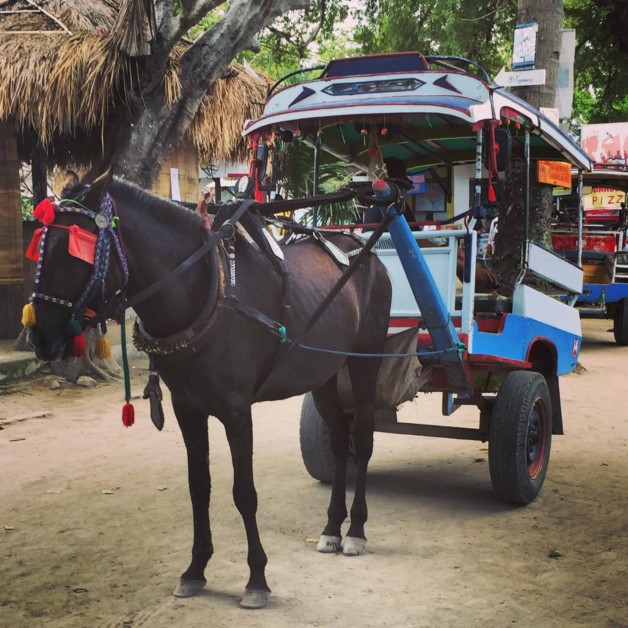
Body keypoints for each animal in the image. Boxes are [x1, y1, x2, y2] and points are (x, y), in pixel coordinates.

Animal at [27, 172, 390, 608]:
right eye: (39, 245)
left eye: (73, 251)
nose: (38, 336)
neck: (204, 291)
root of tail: (363, 251)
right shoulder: (187, 407)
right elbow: (199, 488)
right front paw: (195, 569)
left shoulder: (236, 411)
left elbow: (244, 492)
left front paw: (256, 579)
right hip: (323, 372)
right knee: (338, 440)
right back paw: (333, 527)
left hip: (364, 361)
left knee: (363, 440)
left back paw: (356, 531)